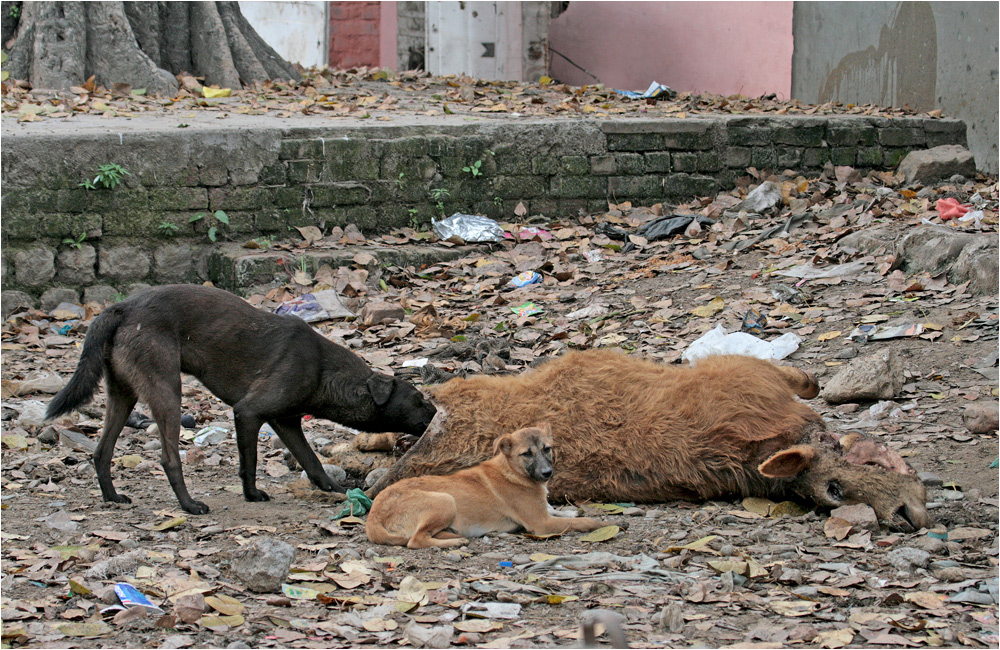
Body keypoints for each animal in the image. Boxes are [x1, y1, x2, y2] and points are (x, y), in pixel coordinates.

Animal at [46, 284, 438, 512]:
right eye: (419, 398)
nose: (438, 412)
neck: (323, 369)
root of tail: (122, 307)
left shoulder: (286, 421)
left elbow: (311, 461)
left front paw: (336, 488)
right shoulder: (249, 412)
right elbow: (249, 462)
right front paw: (251, 494)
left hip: (122, 393)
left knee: (101, 451)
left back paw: (112, 497)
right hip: (167, 390)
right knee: (169, 457)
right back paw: (189, 505)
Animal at [366, 422, 600, 544]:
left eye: (547, 449)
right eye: (526, 454)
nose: (547, 474)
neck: (512, 471)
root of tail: (374, 513)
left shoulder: (544, 513)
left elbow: (562, 512)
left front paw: (573, 511)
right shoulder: (541, 524)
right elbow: (582, 522)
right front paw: (599, 523)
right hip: (445, 500)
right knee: (416, 540)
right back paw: (455, 542)